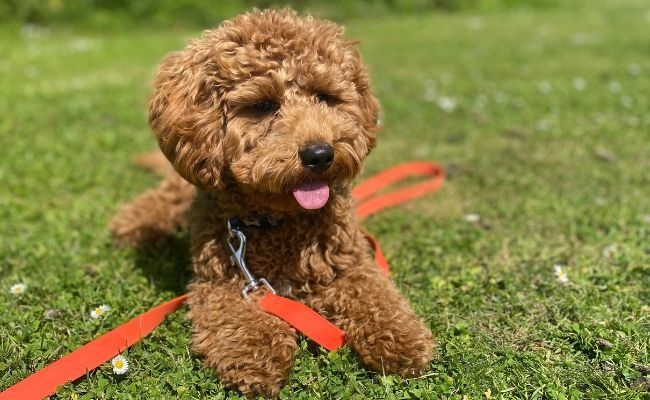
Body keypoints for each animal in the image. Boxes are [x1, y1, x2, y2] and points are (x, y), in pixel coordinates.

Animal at [110, 8, 436, 396]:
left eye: (325, 97)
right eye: (263, 105)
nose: (319, 154)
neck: (277, 220)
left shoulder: (349, 264)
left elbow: (377, 298)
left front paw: (401, 339)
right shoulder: (222, 283)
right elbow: (238, 321)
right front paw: (257, 357)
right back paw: (138, 224)